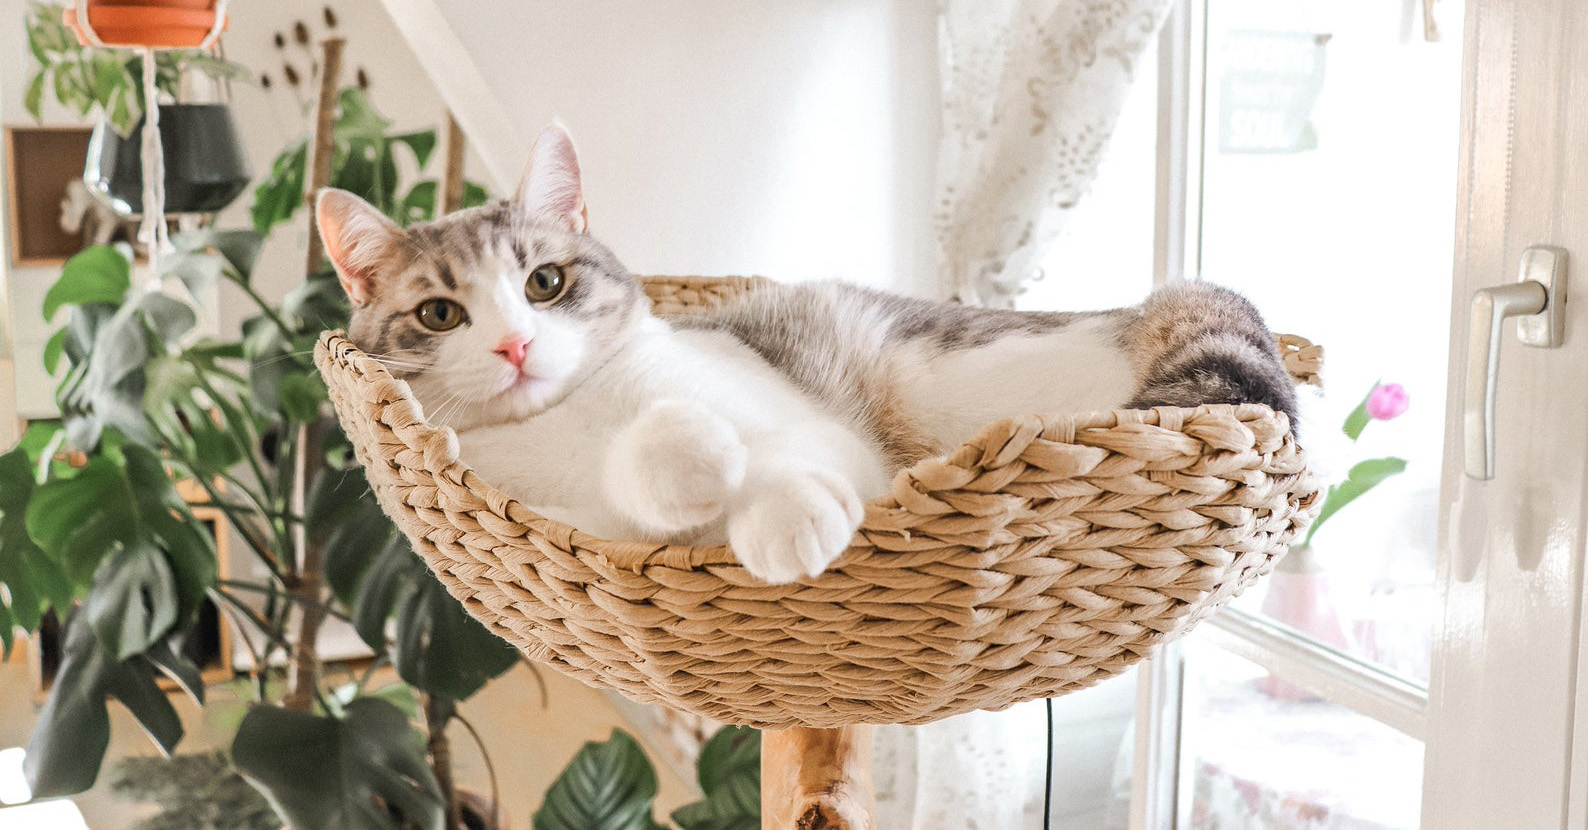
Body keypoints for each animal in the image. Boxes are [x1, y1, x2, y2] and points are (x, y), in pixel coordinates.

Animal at [316, 126, 1295, 587]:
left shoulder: (820, 436)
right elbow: (645, 494)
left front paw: (778, 512)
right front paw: (685, 464)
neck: (578, 419)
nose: (516, 344)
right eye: (439, 313)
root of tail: (1141, 309)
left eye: (545, 282)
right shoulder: (569, 522)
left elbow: (782, 456)